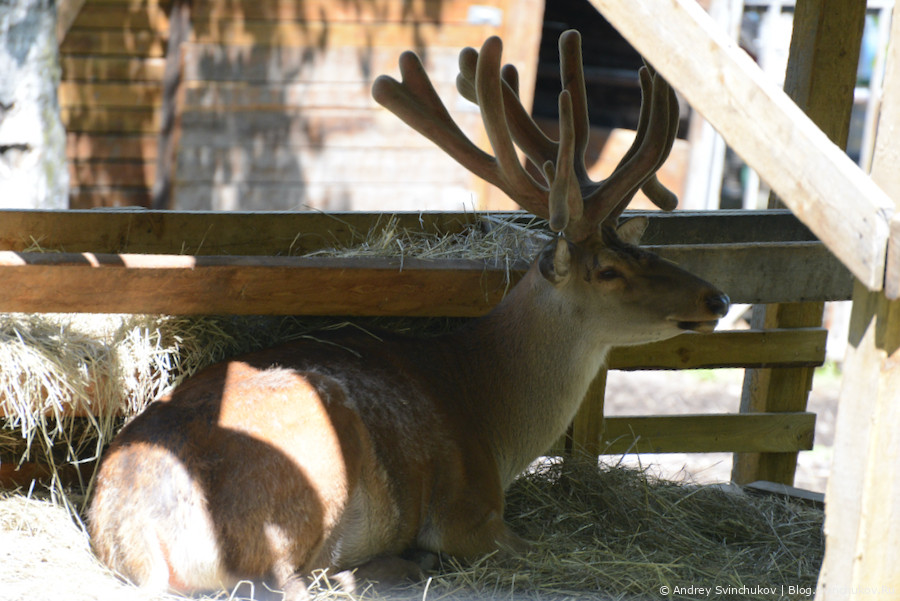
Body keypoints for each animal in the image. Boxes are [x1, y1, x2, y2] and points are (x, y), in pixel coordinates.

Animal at [86, 29, 732, 600]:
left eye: (644, 250)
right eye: (608, 271)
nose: (717, 299)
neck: (493, 416)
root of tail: (137, 540)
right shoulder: (470, 509)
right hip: (304, 477)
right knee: (295, 581)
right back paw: (401, 564)